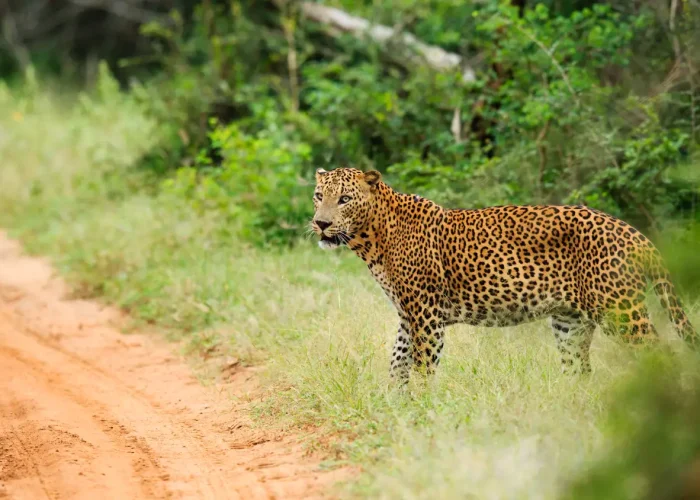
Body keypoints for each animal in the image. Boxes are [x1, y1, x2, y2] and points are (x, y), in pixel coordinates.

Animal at [314, 166, 700, 380]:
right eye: (319, 196)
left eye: (345, 199)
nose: (321, 223)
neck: (372, 238)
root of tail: (634, 233)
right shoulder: (408, 315)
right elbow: (397, 361)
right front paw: (396, 406)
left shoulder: (426, 313)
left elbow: (423, 365)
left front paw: (422, 410)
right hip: (570, 321)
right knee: (578, 369)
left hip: (620, 311)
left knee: (660, 353)